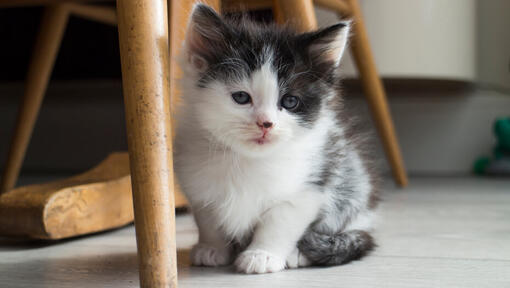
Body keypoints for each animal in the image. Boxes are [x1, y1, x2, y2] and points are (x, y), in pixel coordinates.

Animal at [175, 4, 378, 274]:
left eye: (290, 101)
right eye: (241, 97)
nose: (266, 123)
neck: (247, 159)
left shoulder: (309, 185)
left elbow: (280, 223)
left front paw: (262, 254)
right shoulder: (198, 184)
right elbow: (208, 220)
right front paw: (212, 248)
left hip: (352, 182)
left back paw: (299, 254)